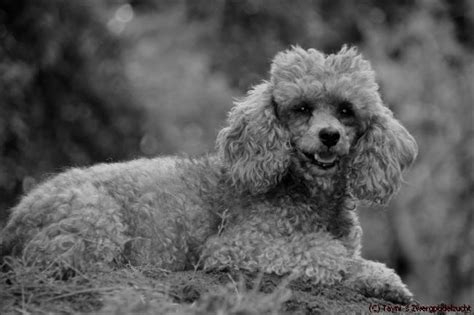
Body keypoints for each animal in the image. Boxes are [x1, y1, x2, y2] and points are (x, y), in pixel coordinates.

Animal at [0, 46, 416, 304]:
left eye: (346, 110)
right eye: (302, 108)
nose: (329, 136)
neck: (307, 193)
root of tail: (14, 220)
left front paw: (382, 281)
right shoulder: (236, 245)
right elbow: (324, 252)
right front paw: (372, 273)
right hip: (94, 217)